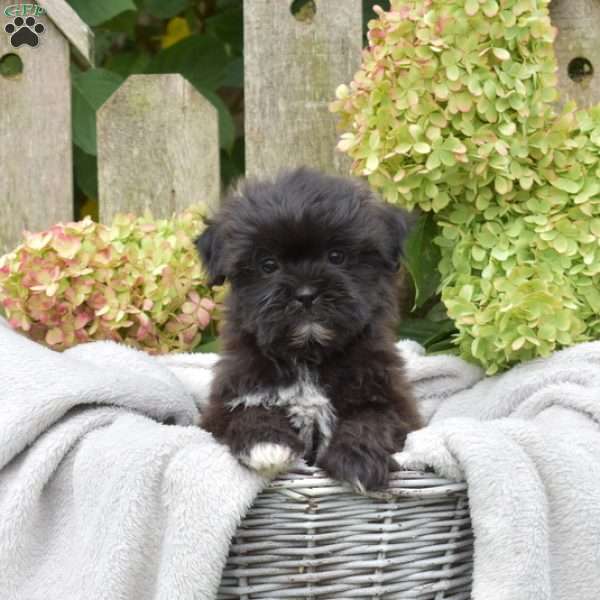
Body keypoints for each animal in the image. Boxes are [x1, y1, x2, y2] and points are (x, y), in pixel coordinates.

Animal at [197, 166, 422, 490]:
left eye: (337, 256)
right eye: (268, 265)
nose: (305, 294)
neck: (308, 357)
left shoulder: (391, 400)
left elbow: (372, 420)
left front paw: (358, 459)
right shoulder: (226, 403)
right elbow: (247, 412)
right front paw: (267, 444)